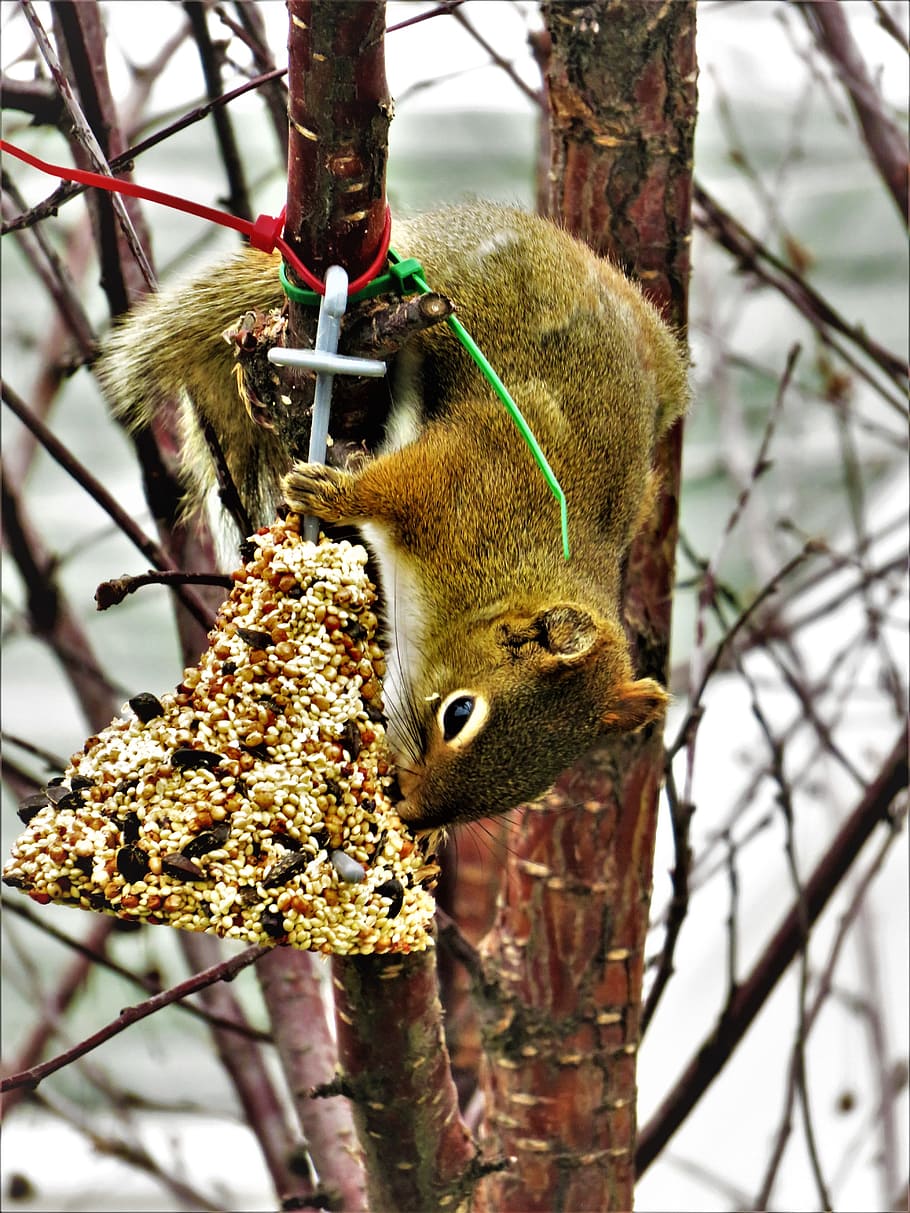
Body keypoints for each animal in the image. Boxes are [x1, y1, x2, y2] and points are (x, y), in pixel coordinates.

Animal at [99, 202, 688, 830]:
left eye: (536, 788)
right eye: (458, 714)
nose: (416, 816)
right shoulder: (467, 475)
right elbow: (388, 488)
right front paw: (331, 493)